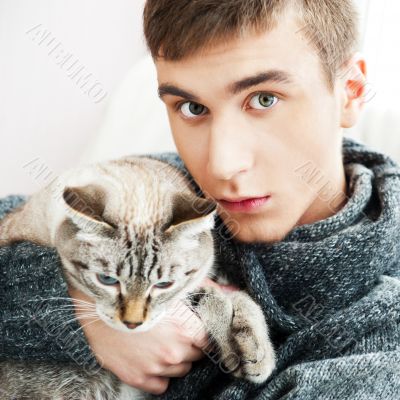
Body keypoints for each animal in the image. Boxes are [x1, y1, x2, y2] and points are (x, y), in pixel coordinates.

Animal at [0, 155, 276, 400]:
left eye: (163, 284)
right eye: (107, 280)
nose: (132, 324)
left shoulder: (195, 284)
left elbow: (239, 298)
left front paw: (258, 356)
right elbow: (218, 296)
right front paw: (235, 350)